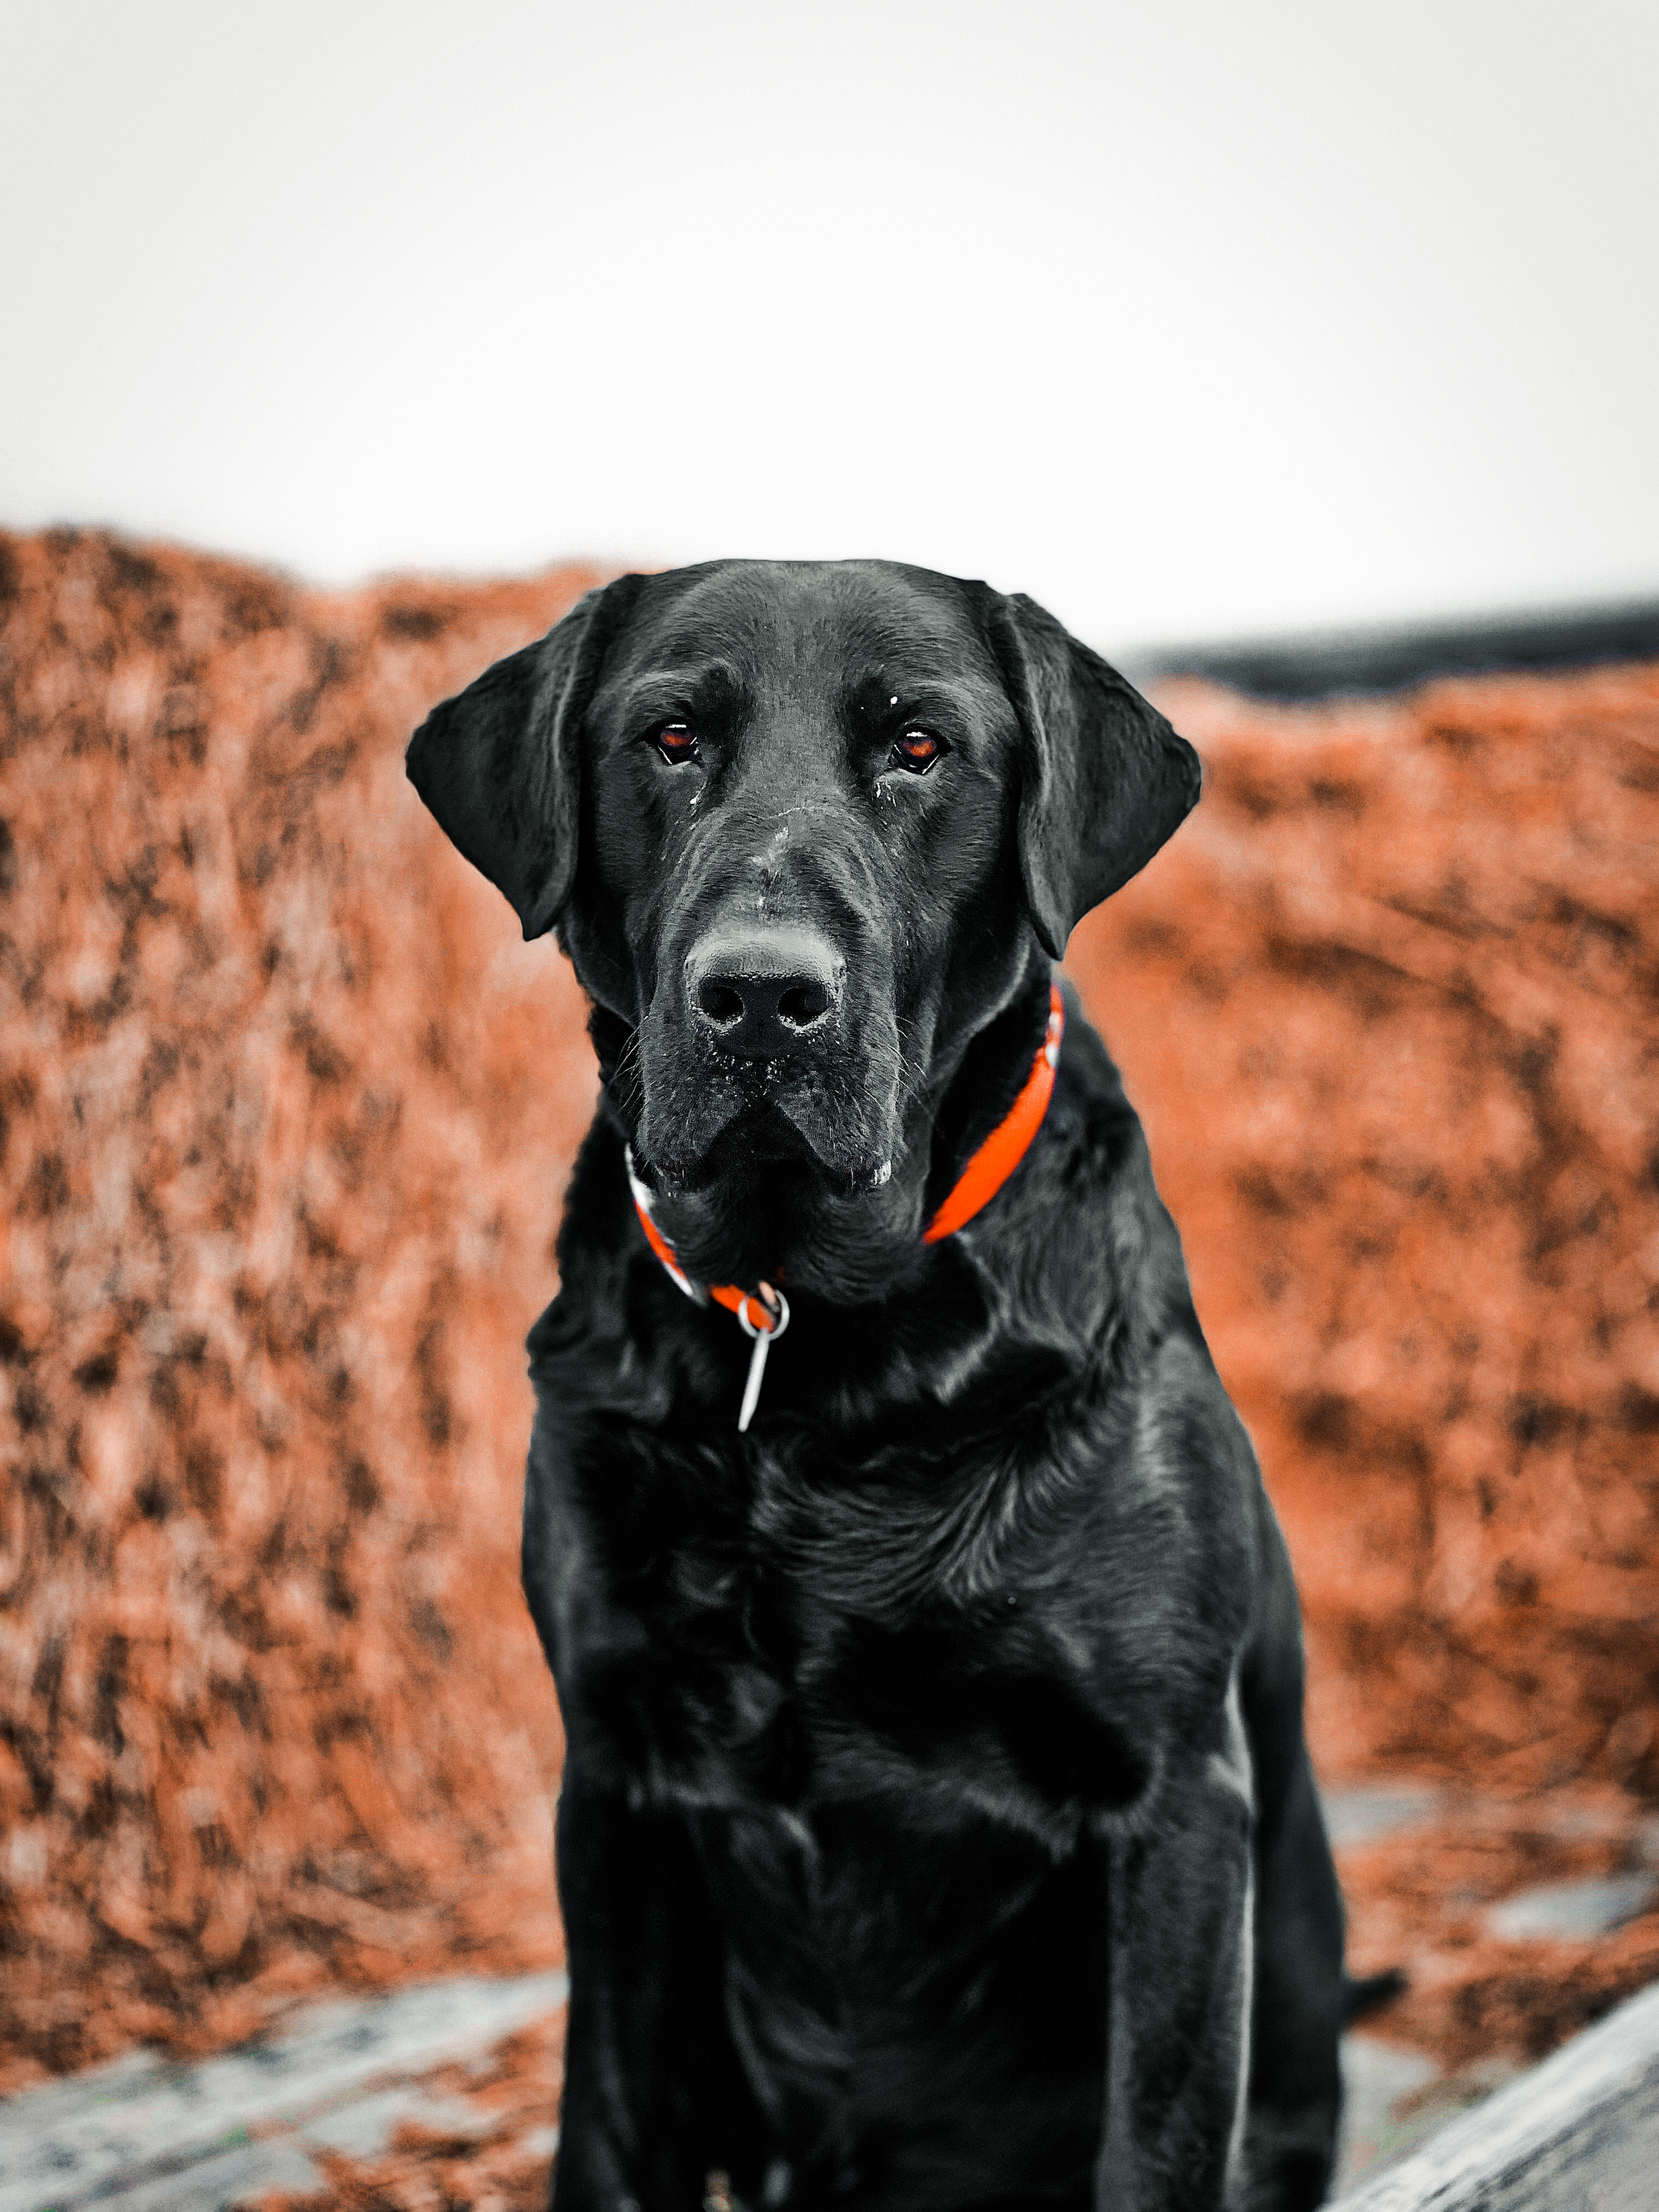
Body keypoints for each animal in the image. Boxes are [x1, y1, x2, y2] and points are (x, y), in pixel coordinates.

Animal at [409, 571, 1371, 2212]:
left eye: (920, 748)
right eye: (671, 740)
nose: (759, 996)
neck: (817, 1351)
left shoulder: (1175, 1800)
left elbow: (1156, 2142)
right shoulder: (618, 1790)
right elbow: (606, 2131)